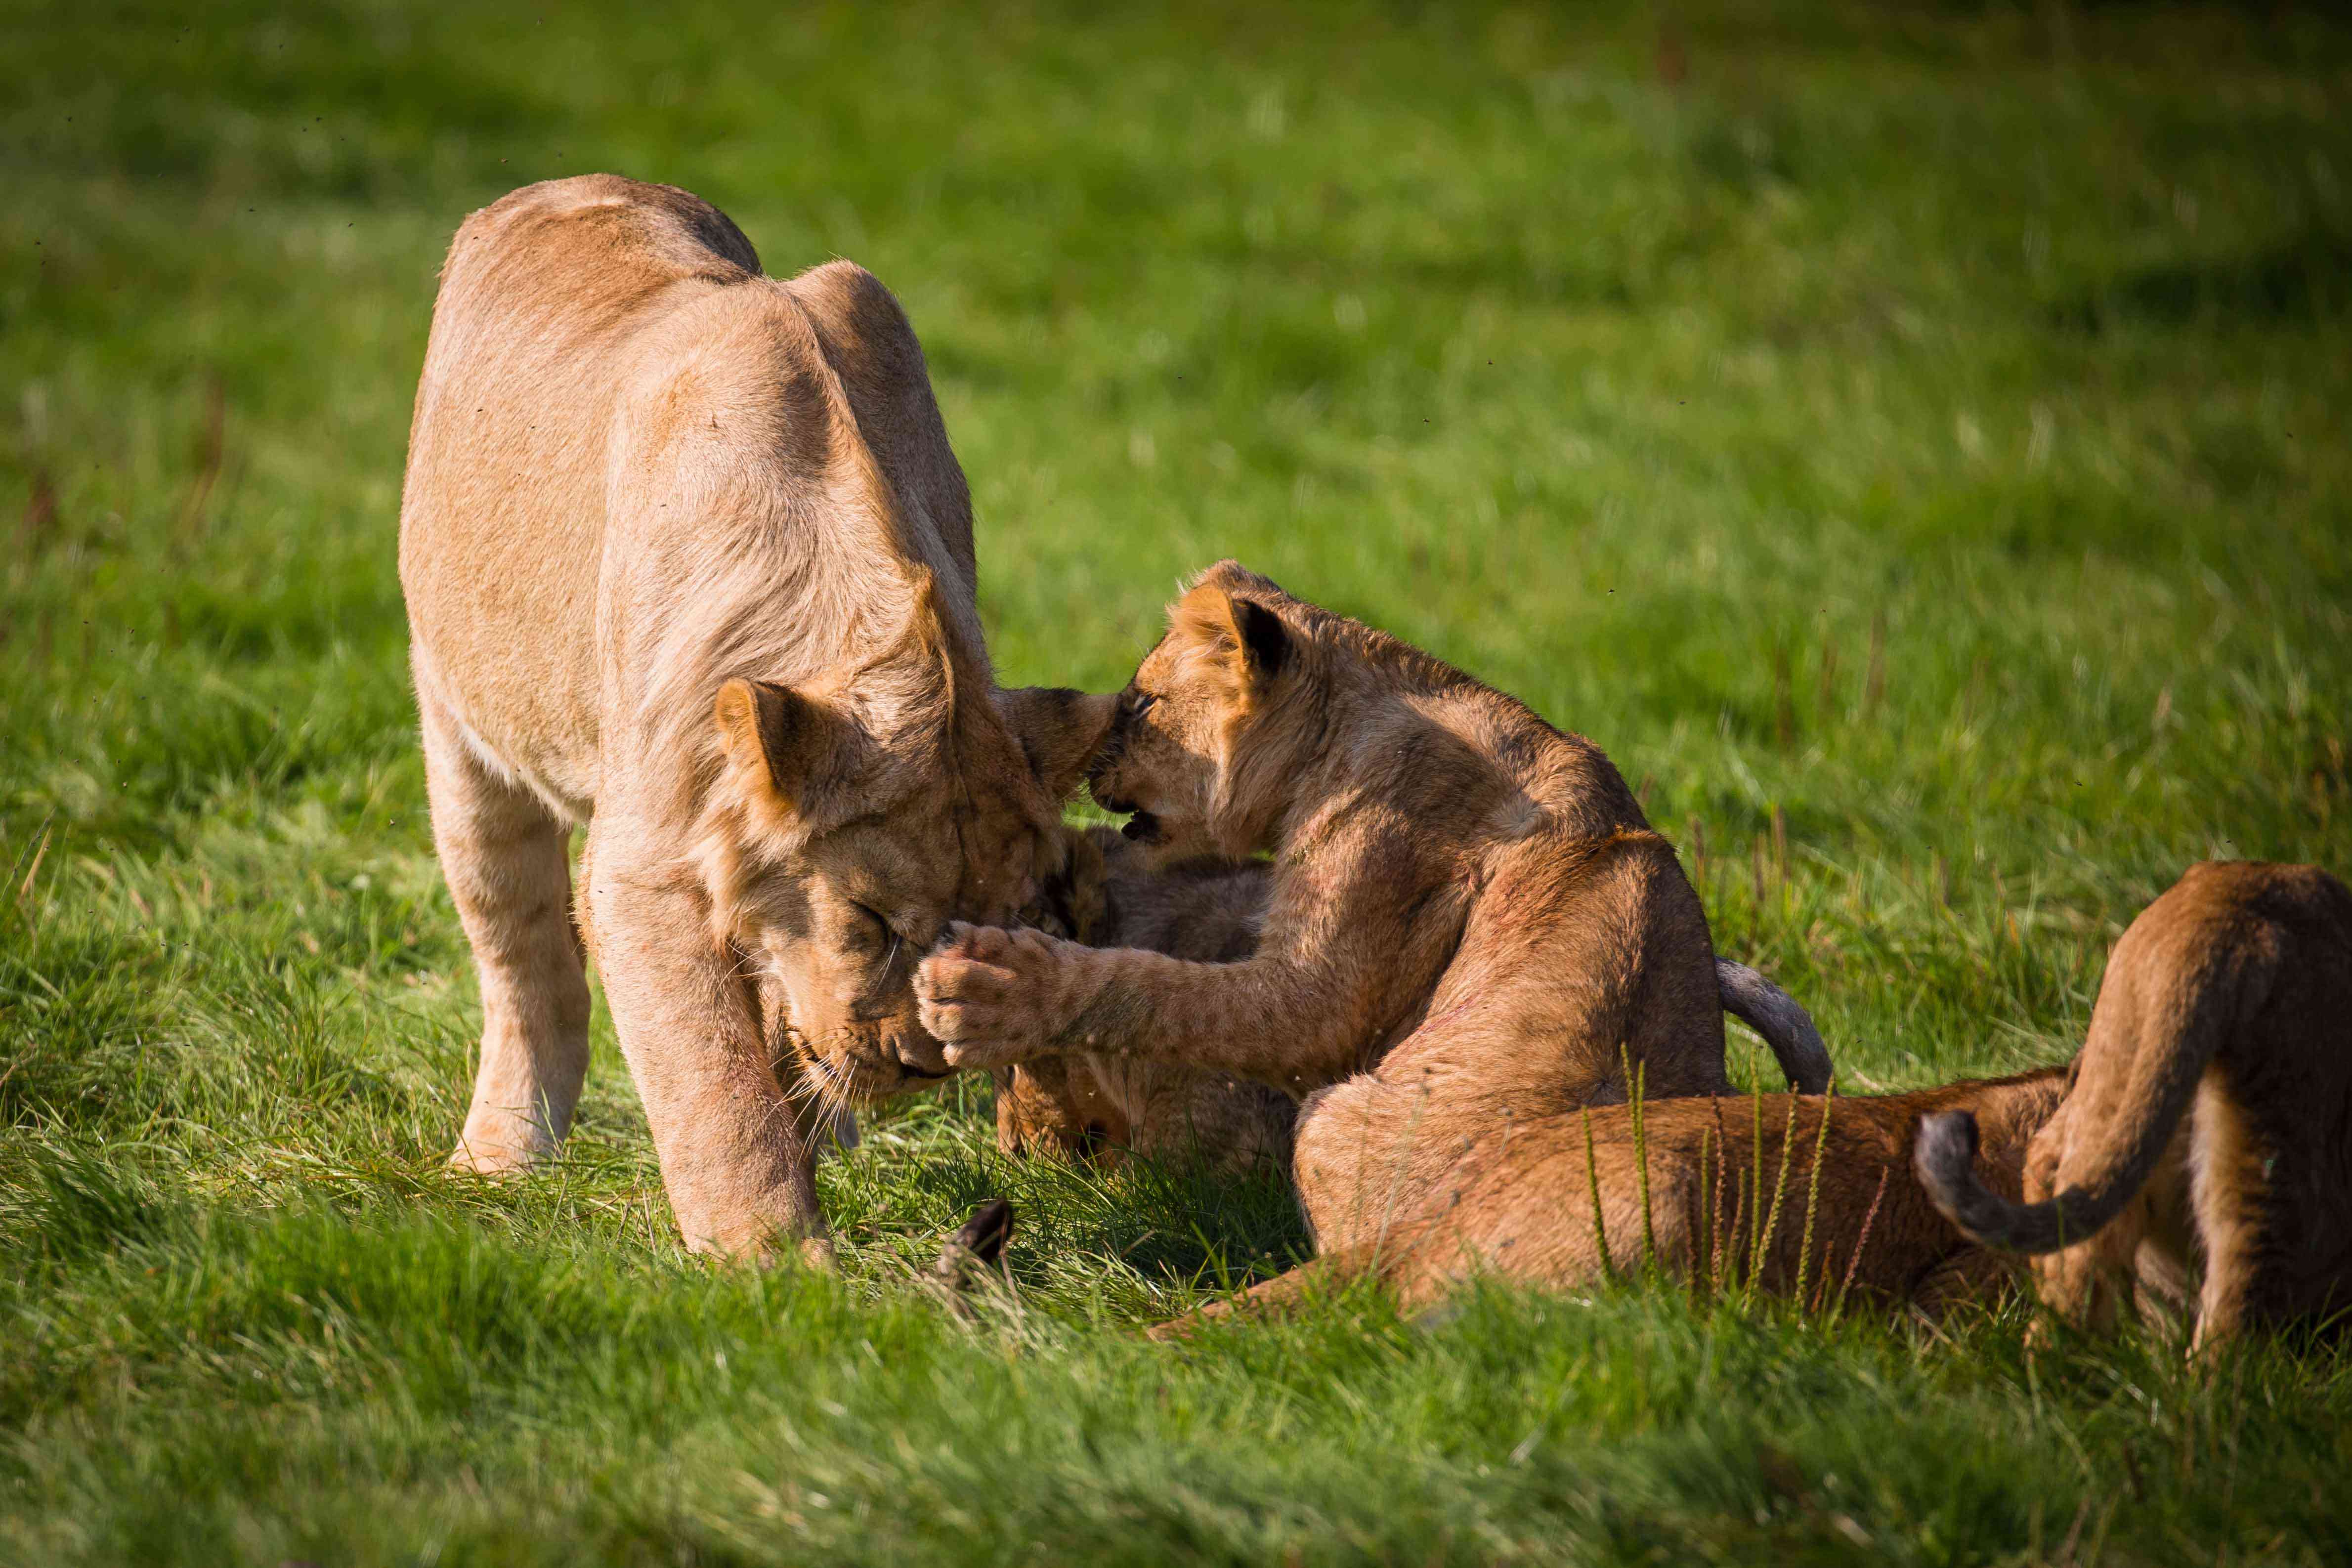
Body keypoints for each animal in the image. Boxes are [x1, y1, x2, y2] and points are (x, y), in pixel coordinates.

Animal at [399, 176, 1113, 1261]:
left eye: (1006, 923)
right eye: (869, 922)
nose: (921, 1067)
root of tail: (567, 184)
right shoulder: (642, 865)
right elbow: (719, 1094)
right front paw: (781, 1268)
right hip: (460, 733)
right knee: (525, 964)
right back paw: (498, 1159)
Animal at [917, 560, 1832, 1301]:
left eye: (1140, 705)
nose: (1093, 762)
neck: (1354, 718)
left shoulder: (1333, 962)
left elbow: (1163, 988)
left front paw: (999, 989)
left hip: (1328, 1114)